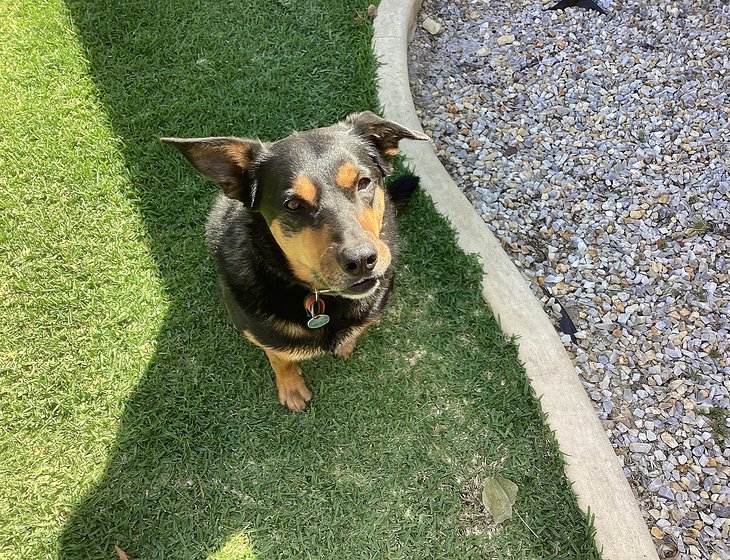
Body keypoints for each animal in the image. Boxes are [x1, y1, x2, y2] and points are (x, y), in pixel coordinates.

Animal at [163, 111, 428, 411]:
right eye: (292, 205)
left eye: (363, 182)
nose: (361, 260)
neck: (320, 297)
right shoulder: (256, 331)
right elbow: (279, 356)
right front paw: (291, 387)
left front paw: (347, 342)